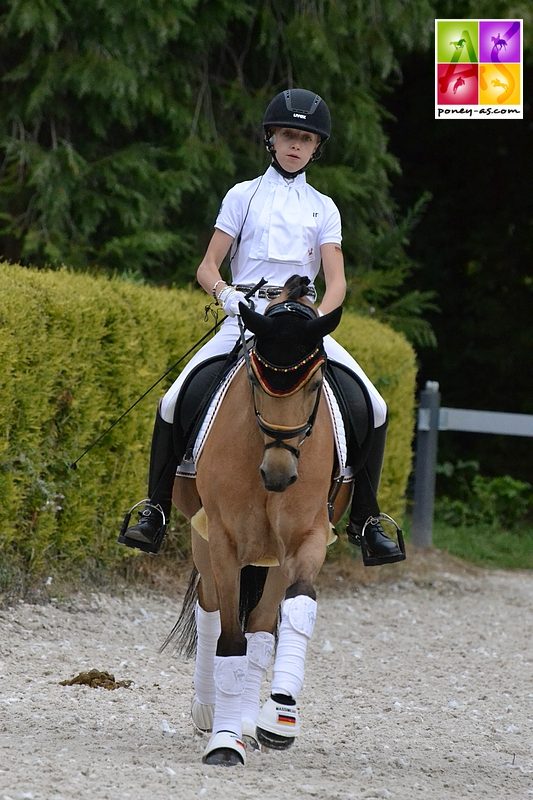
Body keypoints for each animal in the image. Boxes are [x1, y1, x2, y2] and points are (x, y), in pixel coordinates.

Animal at [164, 276, 360, 768]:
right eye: (255, 379)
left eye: (315, 384)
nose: (279, 474)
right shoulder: (224, 539)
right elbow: (229, 639)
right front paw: (223, 741)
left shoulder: (308, 537)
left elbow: (296, 609)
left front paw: (280, 715)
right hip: (203, 538)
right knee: (212, 611)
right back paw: (209, 709)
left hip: (272, 557)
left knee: (262, 629)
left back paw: (251, 723)